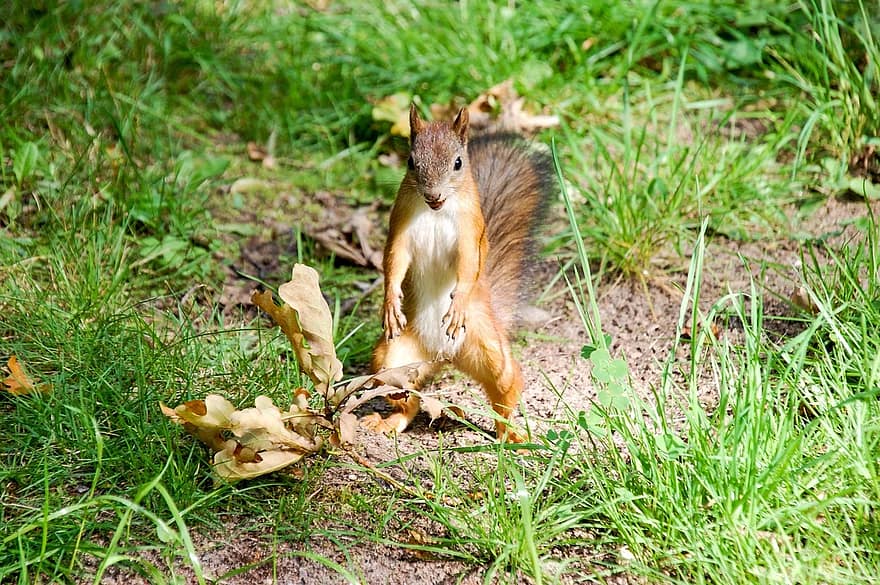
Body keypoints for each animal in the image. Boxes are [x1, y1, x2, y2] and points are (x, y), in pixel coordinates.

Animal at [360, 106, 552, 442]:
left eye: (458, 163)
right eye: (411, 162)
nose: (433, 194)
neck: (436, 212)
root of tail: (444, 355)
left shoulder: (470, 232)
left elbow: (468, 264)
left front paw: (458, 302)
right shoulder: (400, 228)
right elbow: (394, 262)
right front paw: (390, 303)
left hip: (489, 349)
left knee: (508, 387)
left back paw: (513, 435)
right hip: (392, 360)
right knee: (406, 400)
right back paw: (389, 420)